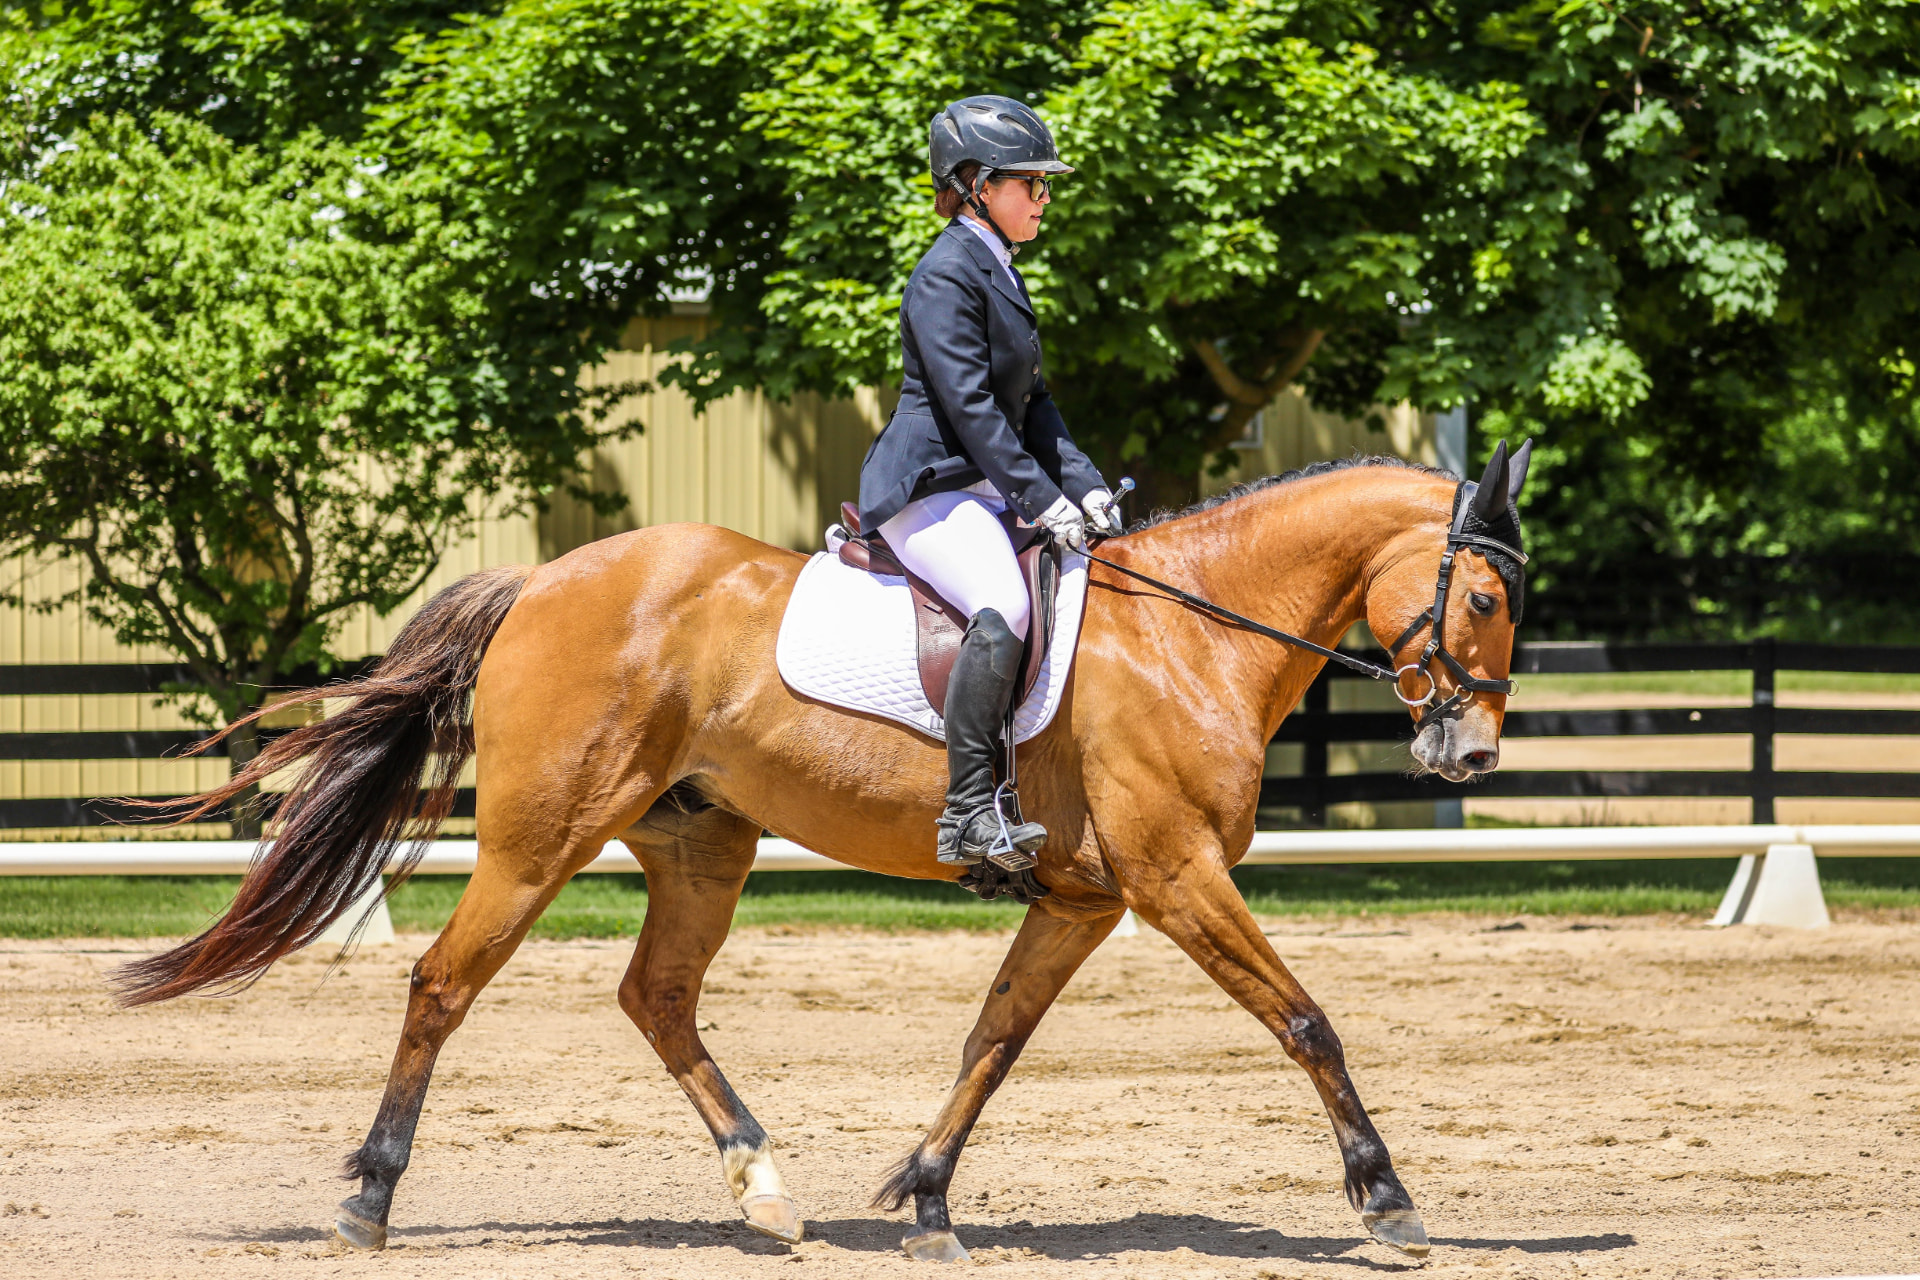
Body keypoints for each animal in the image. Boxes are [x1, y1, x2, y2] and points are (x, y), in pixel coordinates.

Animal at [113, 445, 1529, 1264]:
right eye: (1483, 596)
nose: (1467, 755)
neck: (1195, 635)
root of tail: (542, 580)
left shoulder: (1083, 897)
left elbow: (992, 1038)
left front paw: (928, 1198)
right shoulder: (1176, 879)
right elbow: (1307, 1020)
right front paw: (1387, 1201)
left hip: (701, 841)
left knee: (657, 996)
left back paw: (765, 1191)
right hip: (538, 835)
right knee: (443, 984)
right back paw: (368, 1200)